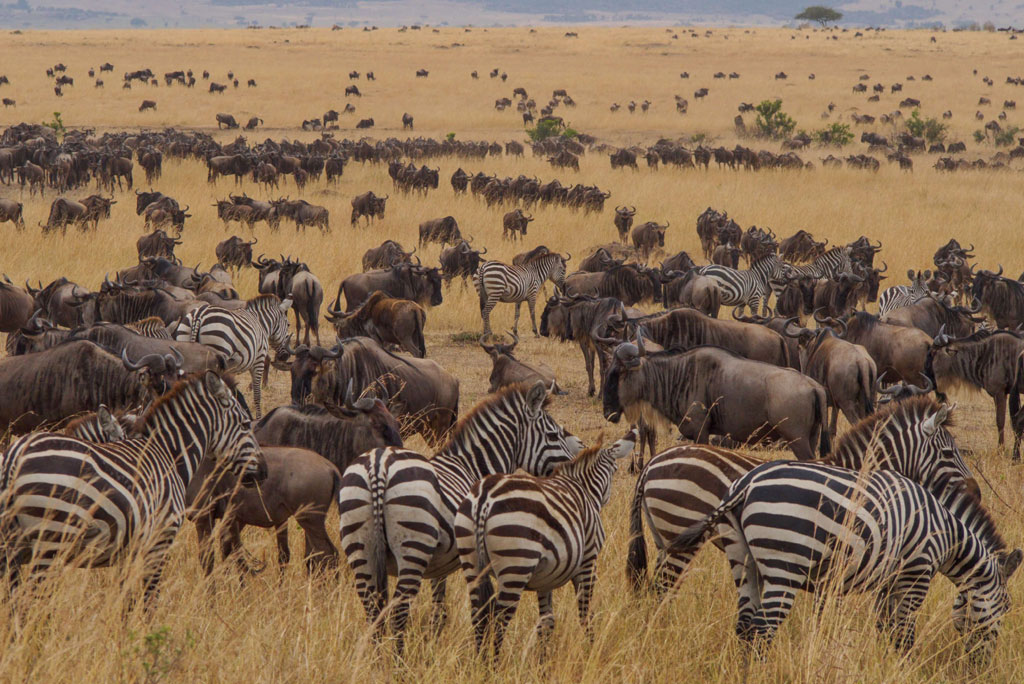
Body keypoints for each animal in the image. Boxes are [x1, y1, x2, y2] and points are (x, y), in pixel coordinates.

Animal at [1, 374, 264, 602]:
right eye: (245, 424)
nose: (264, 470)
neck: (169, 455)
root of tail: (15, 457)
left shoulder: (128, 549)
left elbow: (125, 598)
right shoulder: (160, 538)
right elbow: (149, 599)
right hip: (49, 542)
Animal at [339, 382, 585, 651]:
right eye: (553, 436)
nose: (574, 465)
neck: (472, 466)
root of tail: (378, 465)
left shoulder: (439, 565)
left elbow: (439, 611)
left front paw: (433, 645)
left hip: (359, 547)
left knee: (372, 610)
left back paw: (376, 658)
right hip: (413, 547)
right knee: (399, 612)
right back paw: (397, 660)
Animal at [454, 428, 630, 655]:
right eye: (615, 470)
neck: (582, 487)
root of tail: (485, 497)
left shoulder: (547, 575)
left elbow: (547, 622)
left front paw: (543, 659)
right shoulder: (589, 560)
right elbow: (586, 613)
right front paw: (590, 649)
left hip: (471, 561)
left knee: (478, 618)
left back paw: (480, 661)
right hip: (516, 564)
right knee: (500, 621)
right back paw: (495, 663)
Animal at [622, 395, 974, 597]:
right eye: (948, 453)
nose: (977, 491)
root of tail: (651, 464)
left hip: (664, 537)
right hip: (679, 530)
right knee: (661, 590)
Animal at [667, 462, 1019, 659]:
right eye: (1006, 607)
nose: (982, 666)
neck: (947, 534)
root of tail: (746, 484)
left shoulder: (889, 578)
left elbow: (885, 626)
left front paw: (884, 664)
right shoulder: (917, 571)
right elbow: (904, 631)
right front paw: (904, 665)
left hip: (742, 558)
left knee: (744, 627)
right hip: (783, 565)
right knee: (763, 630)